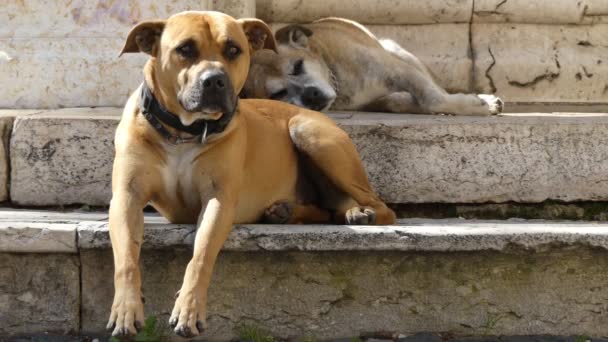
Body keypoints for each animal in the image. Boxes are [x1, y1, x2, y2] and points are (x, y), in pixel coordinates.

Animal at [107, 10, 396, 340]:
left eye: (233, 49)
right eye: (185, 49)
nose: (215, 80)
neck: (183, 132)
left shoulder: (219, 200)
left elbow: (201, 255)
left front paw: (189, 309)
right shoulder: (127, 197)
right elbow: (126, 259)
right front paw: (126, 309)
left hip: (310, 134)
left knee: (381, 207)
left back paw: (358, 213)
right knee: (327, 209)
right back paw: (289, 212)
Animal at [242, 17, 504, 115]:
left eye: (298, 66)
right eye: (278, 94)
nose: (311, 96)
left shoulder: (399, 70)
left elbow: (433, 97)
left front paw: (475, 104)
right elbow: (401, 101)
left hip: (399, 52)